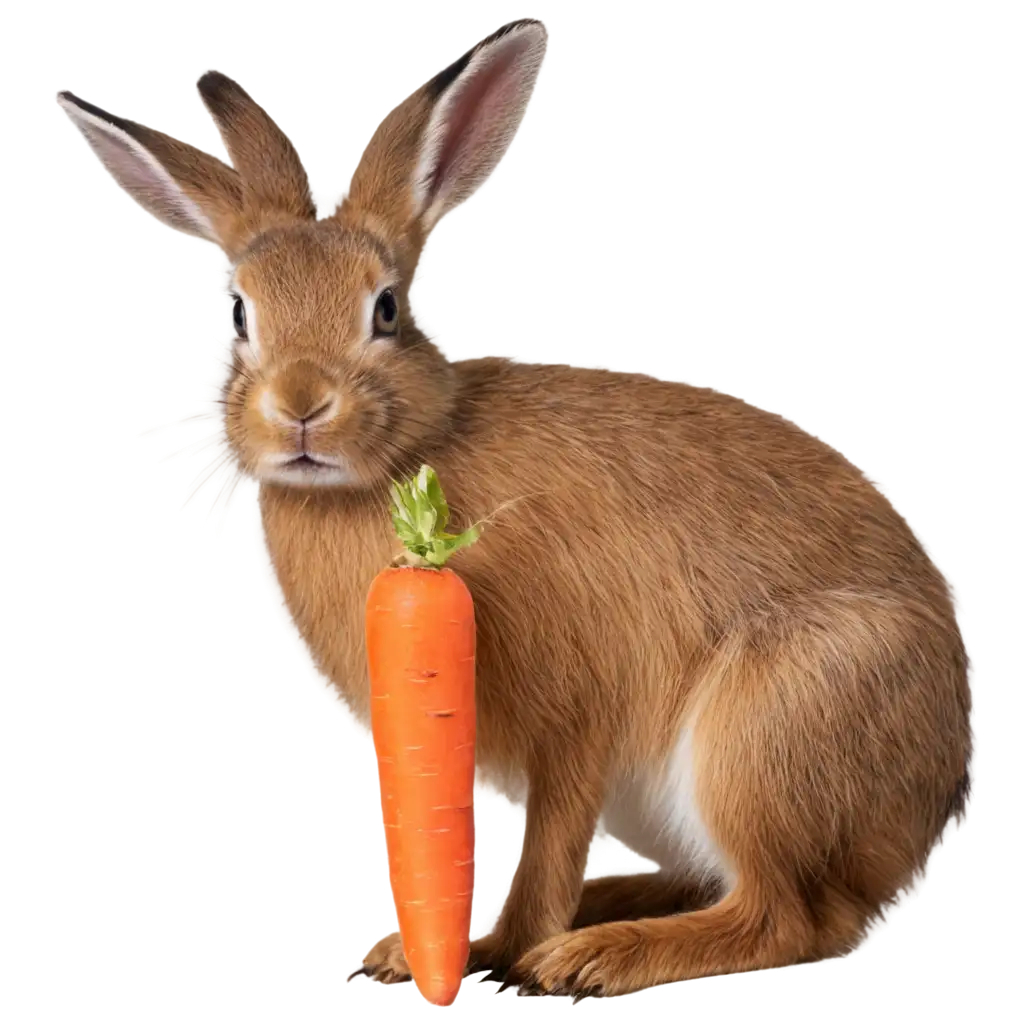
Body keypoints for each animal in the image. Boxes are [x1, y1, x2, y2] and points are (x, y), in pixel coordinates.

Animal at [49, 14, 974, 999]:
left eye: (386, 308)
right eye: (237, 312)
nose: (300, 405)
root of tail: (926, 801)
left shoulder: (576, 713)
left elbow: (551, 838)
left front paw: (507, 951)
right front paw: (403, 954)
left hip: (769, 731)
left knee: (785, 915)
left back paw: (591, 956)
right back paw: (604, 910)